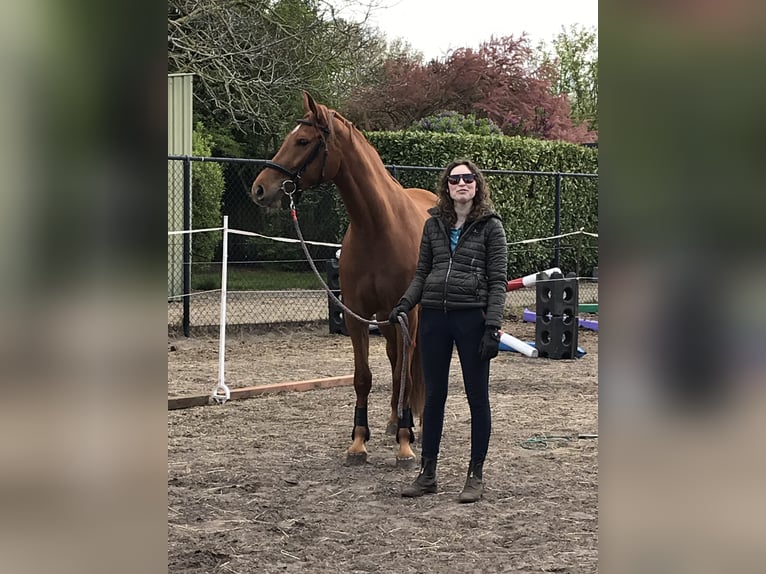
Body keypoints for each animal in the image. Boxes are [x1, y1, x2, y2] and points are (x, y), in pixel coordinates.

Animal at [250, 92, 436, 468]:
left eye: (303, 141)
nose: (260, 188)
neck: (378, 226)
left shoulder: (407, 312)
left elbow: (407, 374)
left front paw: (406, 444)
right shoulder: (357, 314)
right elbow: (363, 377)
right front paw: (359, 441)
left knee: (412, 366)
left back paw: (416, 425)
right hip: (385, 318)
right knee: (394, 359)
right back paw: (393, 421)